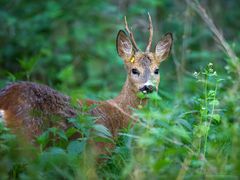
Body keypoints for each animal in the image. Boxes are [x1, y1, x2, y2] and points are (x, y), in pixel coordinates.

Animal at [0, 14, 172, 148]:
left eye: (157, 70)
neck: (119, 116)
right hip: (29, 133)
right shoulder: (100, 146)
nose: (148, 87)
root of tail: (6, 101)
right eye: (134, 70)